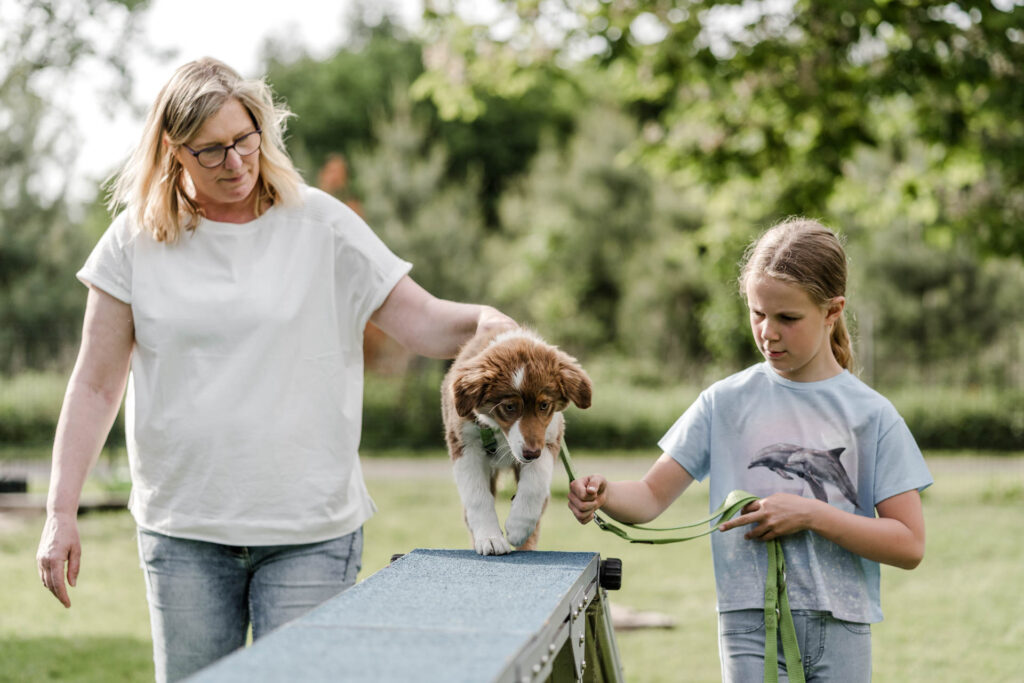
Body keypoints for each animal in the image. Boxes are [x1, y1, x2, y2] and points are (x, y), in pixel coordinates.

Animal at [440, 325, 593, 557]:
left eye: (544, 405)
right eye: (509, 407)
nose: (531, 453)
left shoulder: (549, 438)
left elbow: (534, 485)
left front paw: (518, 527)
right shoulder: (464, 444)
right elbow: (477, 496)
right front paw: (490, 538)